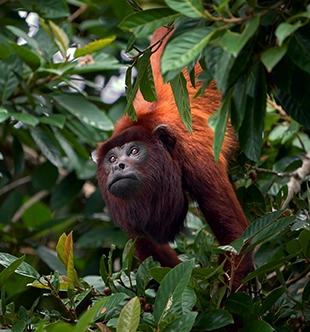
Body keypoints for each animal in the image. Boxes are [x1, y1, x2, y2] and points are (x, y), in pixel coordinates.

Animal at [94, 27, 252, 290]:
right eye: (112, 158)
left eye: (134, 151)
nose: (118, 166)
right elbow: (150, 248)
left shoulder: (198, 160)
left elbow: (236, 237)